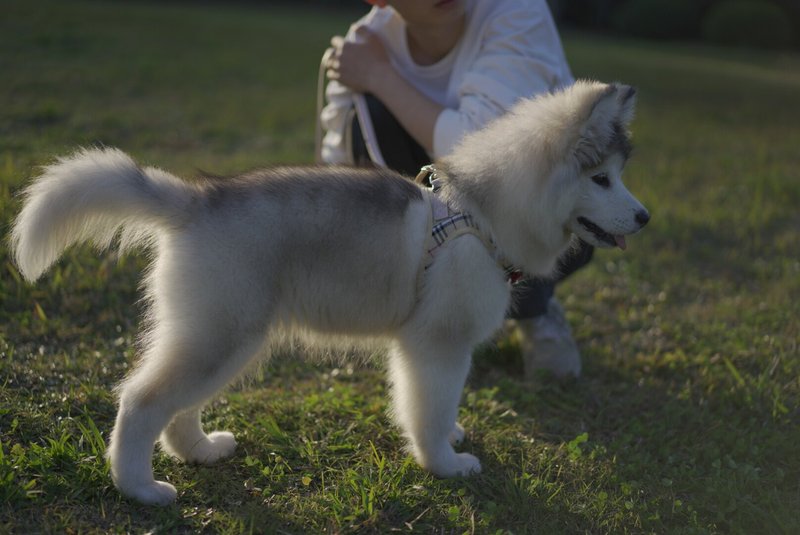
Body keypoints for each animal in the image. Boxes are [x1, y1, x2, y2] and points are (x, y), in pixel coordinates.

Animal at [10, 79, 648, 506]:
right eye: (601, 179)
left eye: (619, 175)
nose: (643, 218)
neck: (480, 213)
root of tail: (197, 197)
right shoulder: (437, 344)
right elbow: (431, 408)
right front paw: (445, 462)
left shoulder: (427, 346)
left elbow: (437, 407)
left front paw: (449, 439)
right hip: (223, 334)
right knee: (142, 400)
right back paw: (139, 488)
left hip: (217, 333)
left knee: (175, 405)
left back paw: (200, 451)